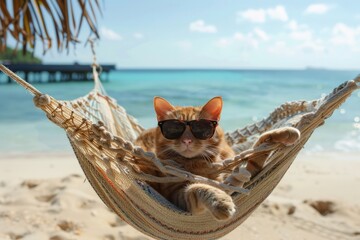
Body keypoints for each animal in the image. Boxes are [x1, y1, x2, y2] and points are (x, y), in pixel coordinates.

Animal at [134, 95, 300, 219]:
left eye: (200, 128)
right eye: (174, 129)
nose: (187, 140)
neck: (195, 164)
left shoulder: (239, 176)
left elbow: (259, 147)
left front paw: (285, 133)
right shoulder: (176, 196)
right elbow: (197, 187)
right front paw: (220, 201)